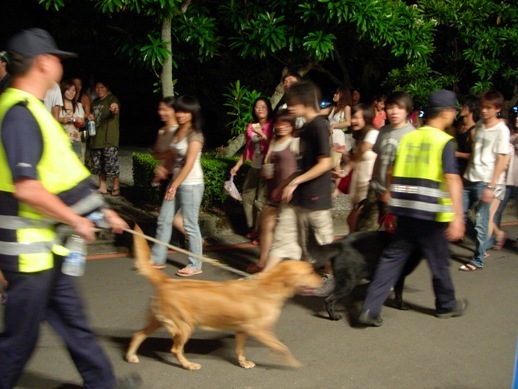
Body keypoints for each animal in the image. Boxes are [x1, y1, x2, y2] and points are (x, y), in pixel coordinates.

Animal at [127, 224, 320, 370]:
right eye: (310, 272)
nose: (323, 279)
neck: (269, 286)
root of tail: (166, 281)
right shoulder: (259, 330)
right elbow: (282, 347)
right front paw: (294, 363)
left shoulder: (242, 330)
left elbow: (240, 349)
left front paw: (243, 362)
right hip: (185, 326)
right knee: (175, 349)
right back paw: (189, 365)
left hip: (158, 321)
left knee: (138, 334)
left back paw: (131, 356)